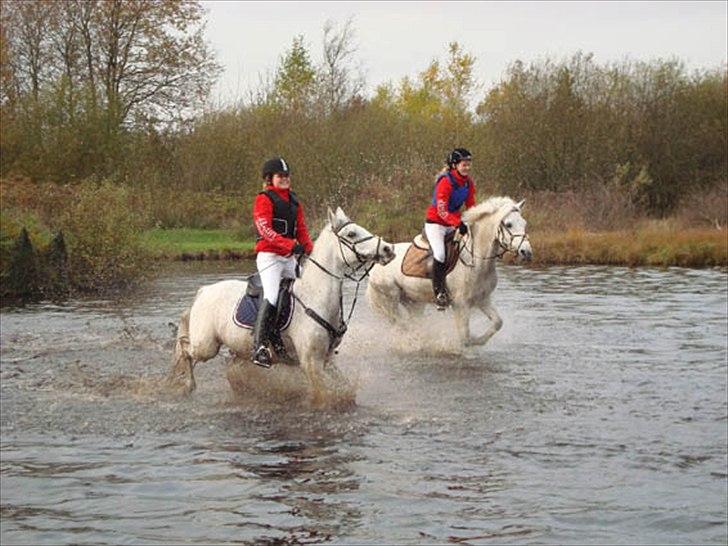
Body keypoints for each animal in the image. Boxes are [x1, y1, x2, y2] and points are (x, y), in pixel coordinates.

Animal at [168, 206, 396, 402]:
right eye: (351, 234)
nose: (388, 249)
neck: (315, 295)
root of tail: (204, 291)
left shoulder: (326, 359)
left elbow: (342, 384)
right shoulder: (311, 363)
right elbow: (324, 394)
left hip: (235, 346)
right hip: (206, 345)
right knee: (185, 348)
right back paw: (187, 385)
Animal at [366, 197, 532, 344]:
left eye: (524, 223)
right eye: (509, 224)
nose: (527, 252)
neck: (477, 261)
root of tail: (375, 266)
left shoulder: (482, 299)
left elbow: (497, 323)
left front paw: (479, 341)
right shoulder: (460, 304)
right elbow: (465, 336)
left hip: (414, 302)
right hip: (389, 300)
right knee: (402, 325)